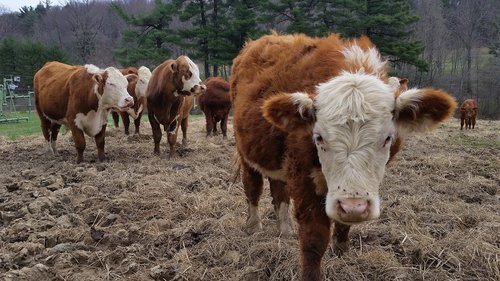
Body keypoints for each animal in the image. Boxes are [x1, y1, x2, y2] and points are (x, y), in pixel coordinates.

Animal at [230, 32, 458, 280]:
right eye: (318, 137)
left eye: (387, 138)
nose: (353, 206)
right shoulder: (302, 176)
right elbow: (313, 239)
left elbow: (343, 224)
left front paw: (340, 251)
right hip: (245, 153)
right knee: (253, 187)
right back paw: (253, 226)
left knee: (278, 190)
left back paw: (285, 229)